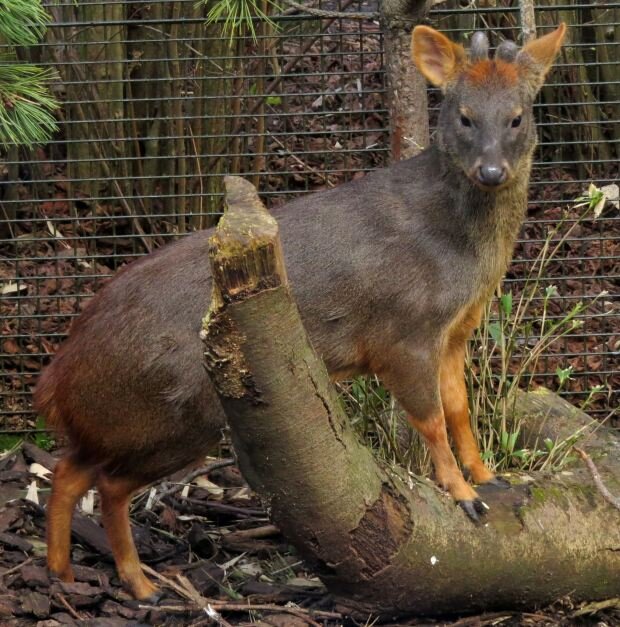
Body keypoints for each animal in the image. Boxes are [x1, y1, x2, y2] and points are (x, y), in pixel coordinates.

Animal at [34, 24, 568, 600]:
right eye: (465, 115)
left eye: (517, 116)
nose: (491, 171)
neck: (461, 256)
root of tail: (55, 380)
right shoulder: (401, 332)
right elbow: (429, 420)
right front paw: (462, 494)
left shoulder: (454, 333)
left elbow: (460, 411)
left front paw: (489, 478)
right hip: (174, 417)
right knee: (107, 484)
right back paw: (139, 583)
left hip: (125, 425)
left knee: (68, 471)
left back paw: (65, 572)